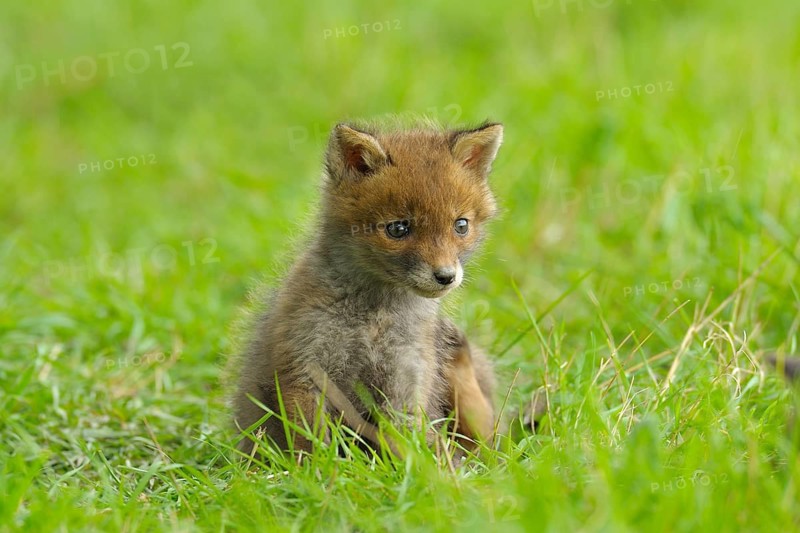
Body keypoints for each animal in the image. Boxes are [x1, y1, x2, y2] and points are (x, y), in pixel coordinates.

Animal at [232, 119, 504, 455]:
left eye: (461, 225)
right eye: (398, 228)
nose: (446, 276)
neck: (374, 318)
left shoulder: (407, 380)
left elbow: (410, 448)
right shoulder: (304, 369)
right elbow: (311, 446)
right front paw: (317, 470)